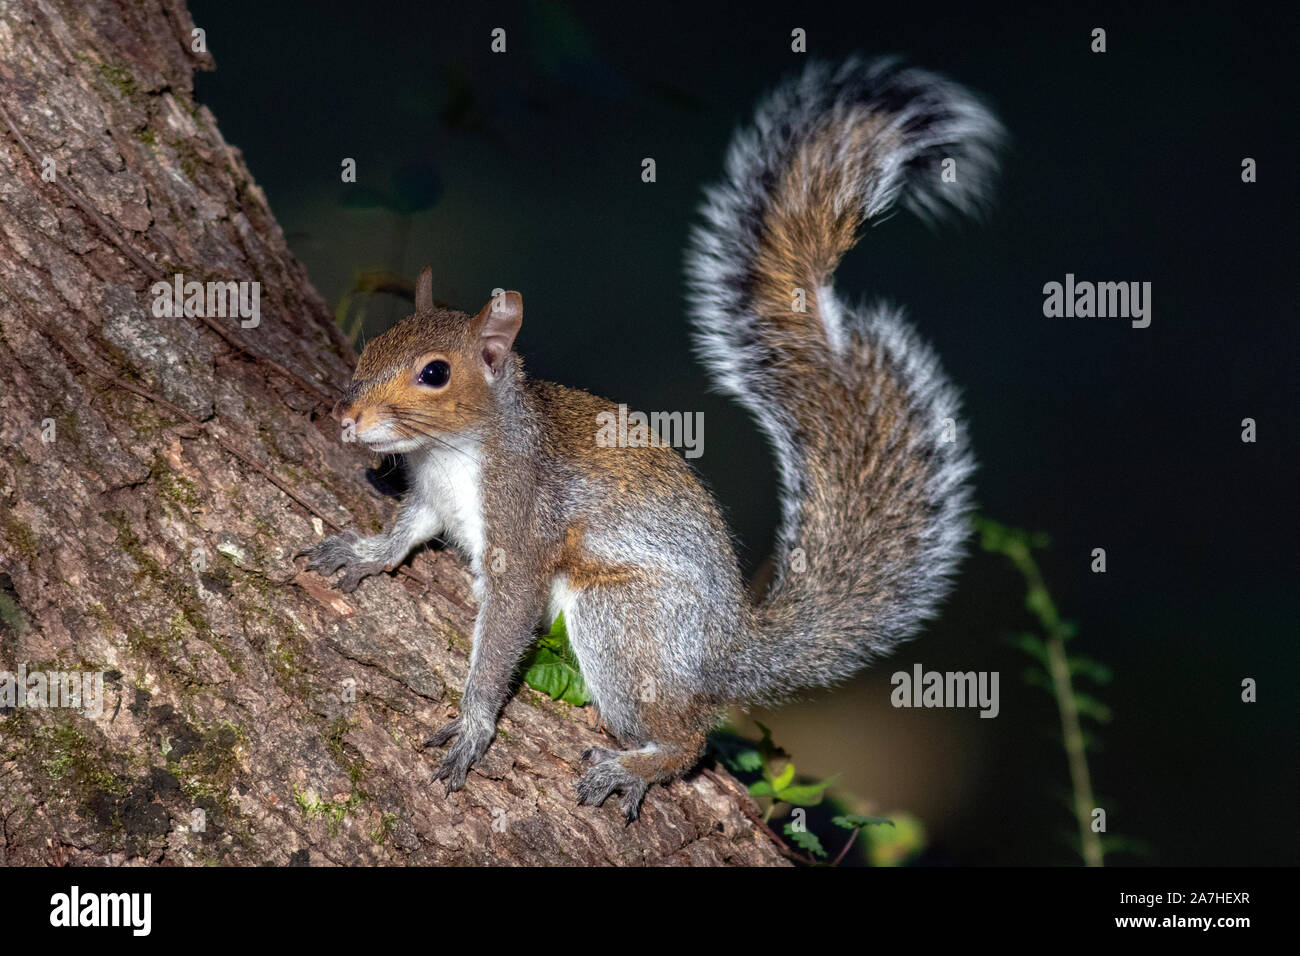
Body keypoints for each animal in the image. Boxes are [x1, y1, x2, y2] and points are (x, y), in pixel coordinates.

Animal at [305, 57, 1001, 822]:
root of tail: (727, 654)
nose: (347, 417)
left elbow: (506, 626)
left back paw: (637, 765)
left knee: (689, 740)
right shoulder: (433, 497)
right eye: (377, 341)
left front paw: (473, 724)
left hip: (621, 620)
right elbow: (406, 531)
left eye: (435, 373)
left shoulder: (526, 524)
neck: (456, 453)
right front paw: (364, 553)